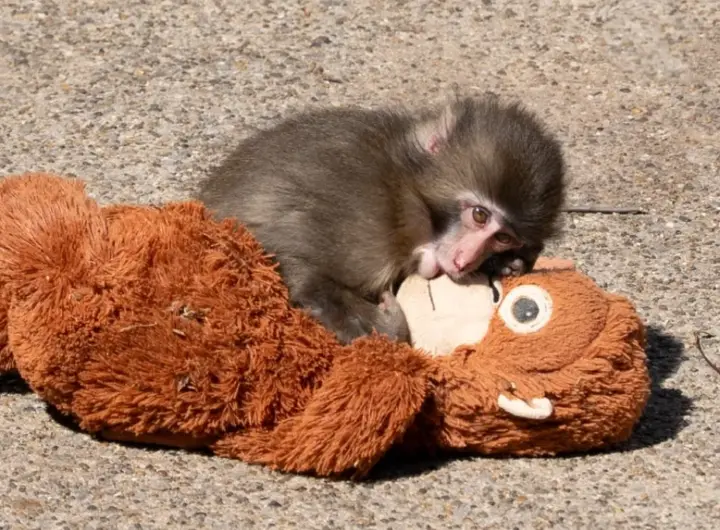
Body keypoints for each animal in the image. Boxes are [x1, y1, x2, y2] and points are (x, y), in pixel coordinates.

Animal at [197, 93, 566, 345]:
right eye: (479, 215)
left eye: (503, 237)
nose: (465, 260)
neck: (404, 191)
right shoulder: (364, 219)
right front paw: (386, 325)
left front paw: (506, 264)